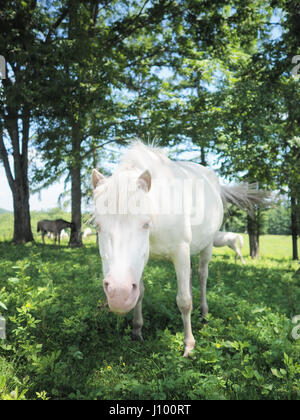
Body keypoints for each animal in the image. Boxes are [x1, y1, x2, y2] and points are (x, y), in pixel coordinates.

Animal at [92, 142, 270, 358]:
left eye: (145, 224)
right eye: (97, 226)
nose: (119, 294)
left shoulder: (180, 253)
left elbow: (184, 301)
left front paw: (189, 345)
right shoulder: (141, 262)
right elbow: (140, 292)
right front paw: (136, 330)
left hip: (207, 246)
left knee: (202, 275)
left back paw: (204, 313)